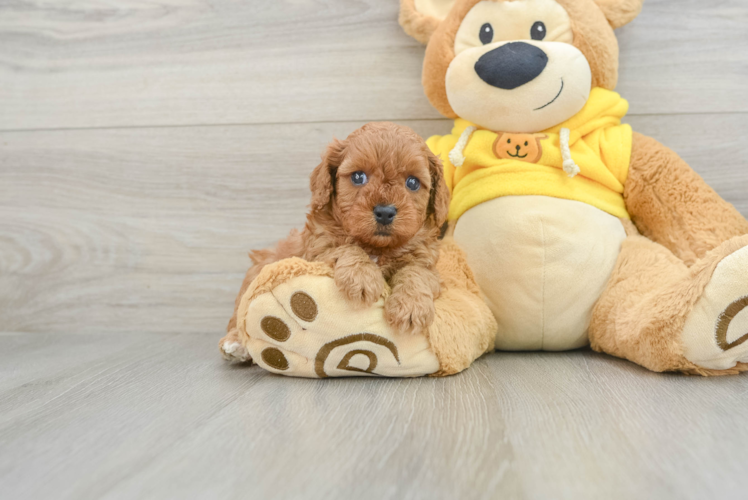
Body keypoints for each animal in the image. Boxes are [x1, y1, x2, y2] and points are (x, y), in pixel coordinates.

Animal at [219, 122, 448, 360]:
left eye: (412, 182)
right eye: (358, 177)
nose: (385, 212)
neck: (376, 247)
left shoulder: (426, 262)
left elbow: (416, 272)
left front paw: (411, 306)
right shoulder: (318, 250)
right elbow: (346, 248)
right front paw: (362, 277)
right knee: (240, 317)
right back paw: (236, 343)